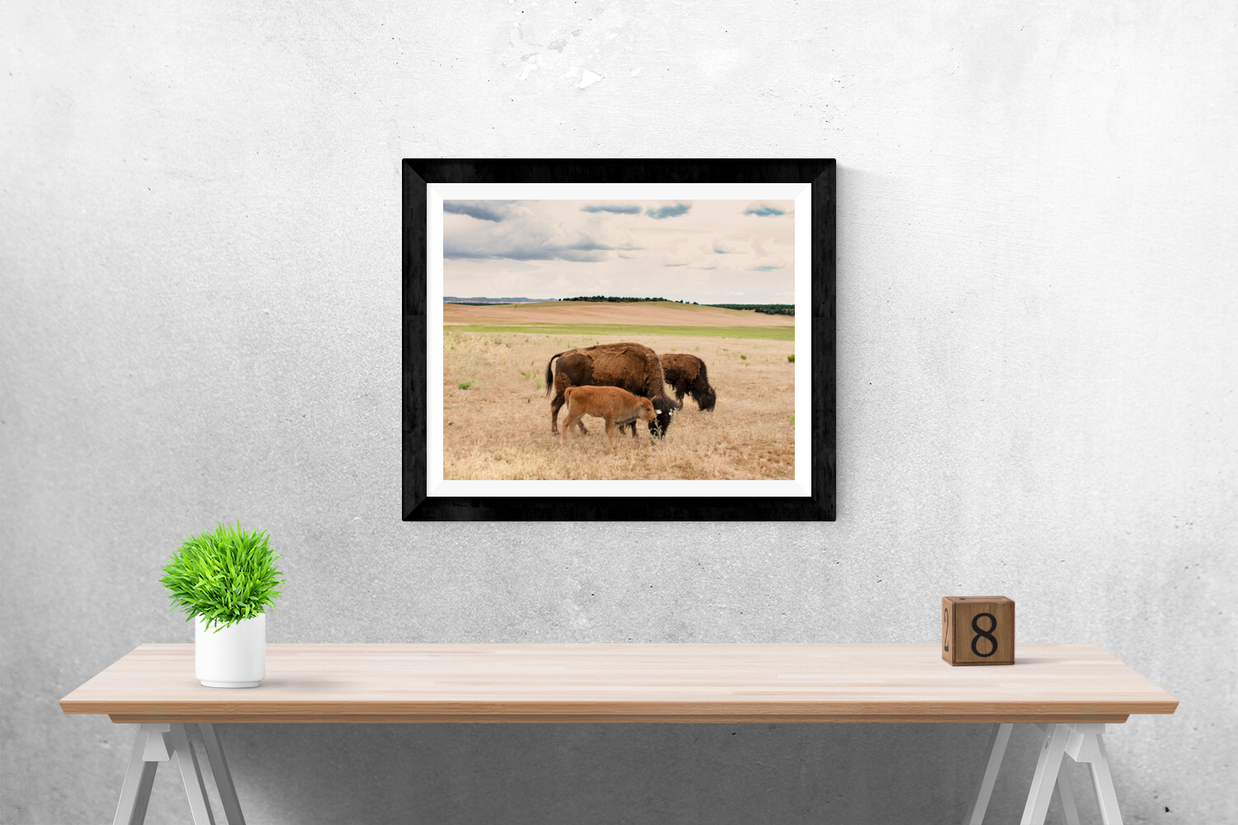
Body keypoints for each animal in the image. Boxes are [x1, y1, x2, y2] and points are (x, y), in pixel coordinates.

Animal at [545, 342, 681, 438]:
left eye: (669, 420)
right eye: (657, 418)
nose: (659, 436)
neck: (644, 368)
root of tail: (562, 355)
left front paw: (622, 431)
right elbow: (632, 419)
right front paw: (634, 435)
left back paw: (584, 431)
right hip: (563, 392)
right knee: (555, 406)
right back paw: (556, 432)